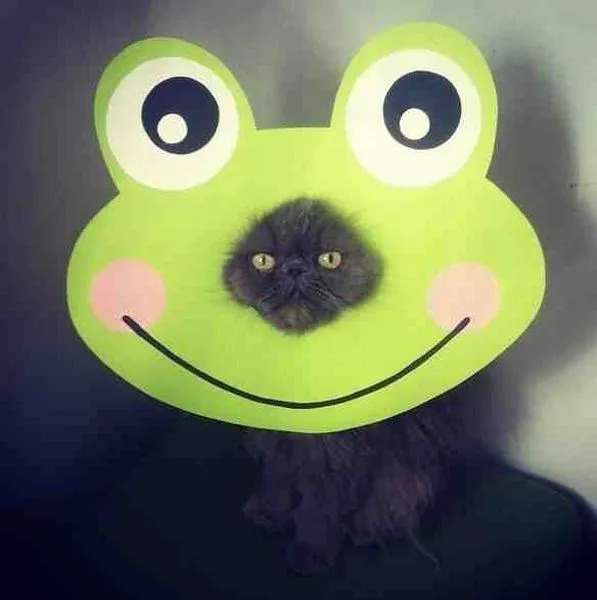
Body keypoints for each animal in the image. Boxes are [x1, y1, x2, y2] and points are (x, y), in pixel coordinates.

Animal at [223, 198, 469, 573]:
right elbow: (276, 481)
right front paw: (269, 513)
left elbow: (319, 508)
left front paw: (311, 550)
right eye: (263, 261)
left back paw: (367, 530)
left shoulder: (340, 455)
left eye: (330, 259)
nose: (295, 269)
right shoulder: (278, 441)